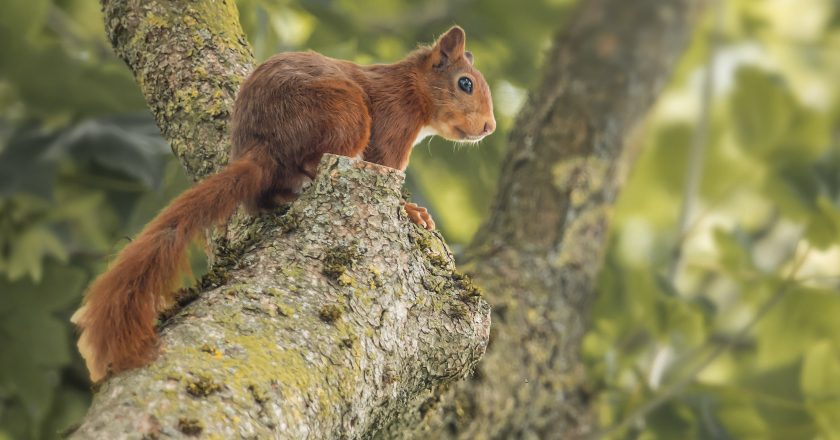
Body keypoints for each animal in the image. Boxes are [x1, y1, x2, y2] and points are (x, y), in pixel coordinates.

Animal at [72, 26, 496, 382]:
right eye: (465, 84)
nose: (490, 127)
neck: (412, 88)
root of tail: (263, 142)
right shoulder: (392, 126)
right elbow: (383, 166)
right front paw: (411, 211)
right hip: (346, 113)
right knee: (314, 159)